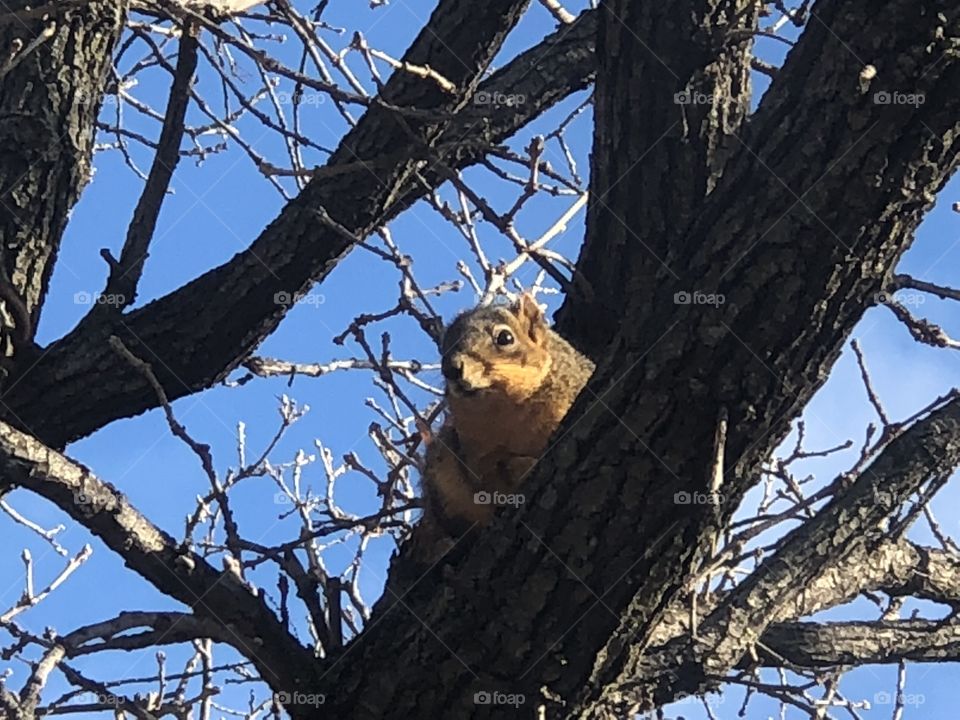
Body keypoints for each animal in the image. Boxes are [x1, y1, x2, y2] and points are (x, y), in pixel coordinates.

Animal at [418, 294, 592, 540]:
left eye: (505, 338)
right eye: (443, 350)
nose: (451, 369)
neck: (508, 411)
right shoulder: (476, 456)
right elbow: (494, 479)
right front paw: (518, 467)